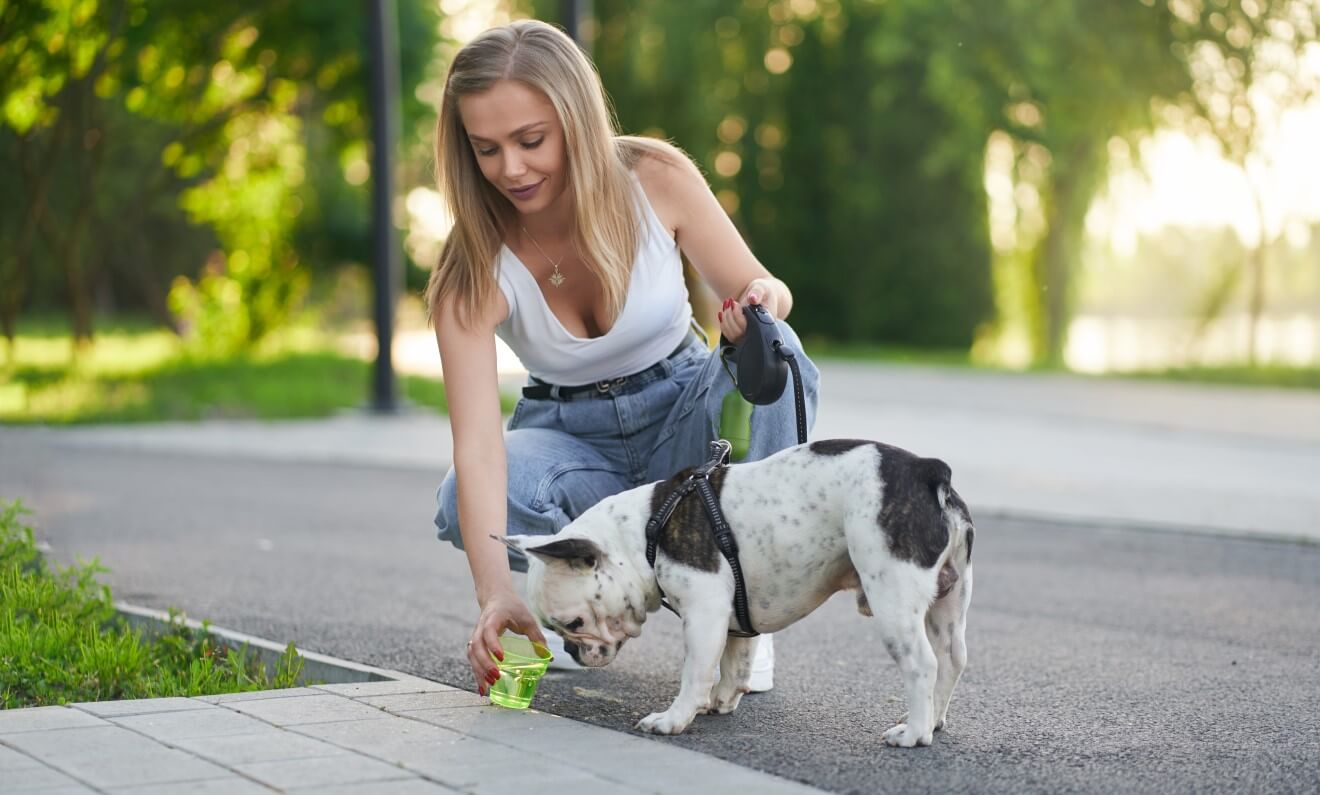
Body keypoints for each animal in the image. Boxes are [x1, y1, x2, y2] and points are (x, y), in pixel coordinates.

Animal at [498, 433, 976, 744]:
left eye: (574, 623)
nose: (573, 651)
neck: (644, 532)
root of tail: (927, 471)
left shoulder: (705, 609)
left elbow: (695, 670)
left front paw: (674, 719)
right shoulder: (732, 615)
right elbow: (733, 661)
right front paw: (722, 701)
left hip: (892, 597)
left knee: (923, 663)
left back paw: (914, 733)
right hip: (950, 601)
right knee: (952, 658)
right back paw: (934, 721)